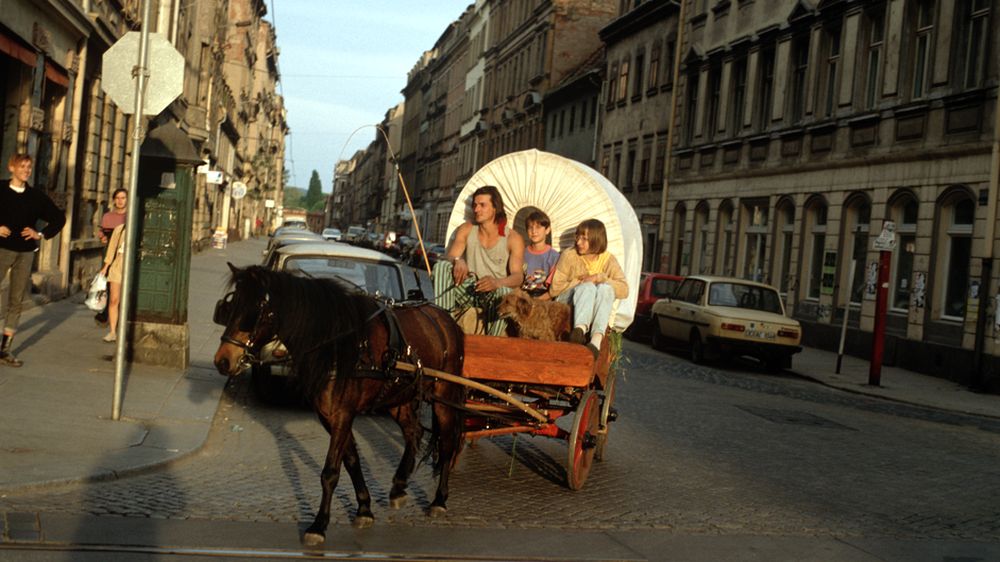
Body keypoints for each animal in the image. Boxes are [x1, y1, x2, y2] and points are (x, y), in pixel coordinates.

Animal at [212, 262, 468, 544]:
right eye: (232, 304)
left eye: (256, 309)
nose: (223, 360)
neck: (337, 343)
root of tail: (446, 320)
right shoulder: (330, 416)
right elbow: (352, 461)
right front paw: (364, 508)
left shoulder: (343, 414)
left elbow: (330, 471)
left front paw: (318, 525)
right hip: (396, 396)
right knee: (414, 432)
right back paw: (399, 485)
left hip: (444, 396)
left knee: (447, 443)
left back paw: (439, 500)